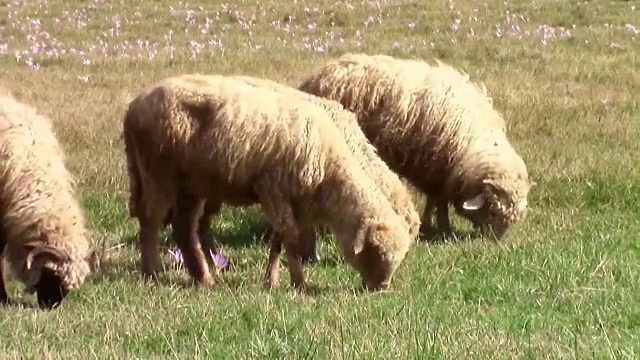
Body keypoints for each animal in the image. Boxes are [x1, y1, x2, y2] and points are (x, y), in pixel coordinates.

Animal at [124, 74, 416, 292]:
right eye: (374, 252)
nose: (380, 288)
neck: (329, 167)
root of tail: (134, 105)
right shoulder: (273, 188)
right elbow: (291, 239)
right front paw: (299, 283)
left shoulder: (293, 201)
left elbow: (280, 241)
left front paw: (274, 280)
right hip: (157, 173)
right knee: (151, 222)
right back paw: (153, 273)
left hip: (192, 184)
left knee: (184, 228)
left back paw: (203, 278)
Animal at [298, 52, 532, 239]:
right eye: (492, 211)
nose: (494, 240)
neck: (472, 144)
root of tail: (314, 76)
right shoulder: (436, 169)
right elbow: (439, 202)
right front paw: (444, 229)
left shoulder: (440, 172)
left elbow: (433, 201)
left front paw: (429, 224)